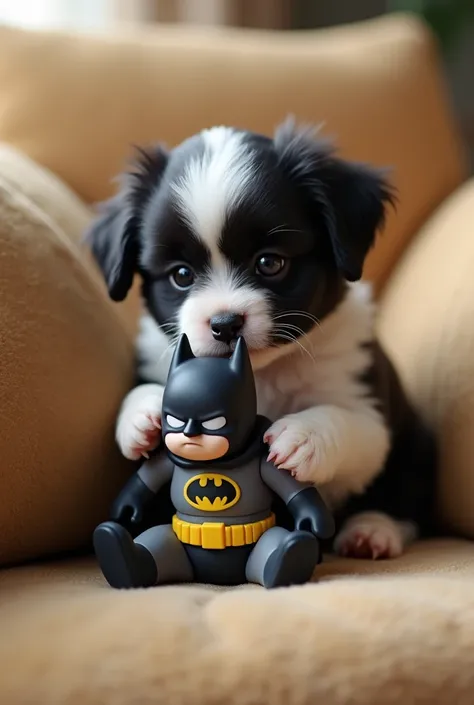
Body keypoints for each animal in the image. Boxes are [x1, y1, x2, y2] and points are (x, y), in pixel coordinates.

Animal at [87, 121, 436, 560]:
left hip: (416, 443)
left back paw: (372, 530)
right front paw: (141, 414)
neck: (261, 372)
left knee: (402, 499)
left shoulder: (369, 409)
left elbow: (347, 422)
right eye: (181, 275)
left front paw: (303, 436)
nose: (224, 323)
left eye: (270, 263)